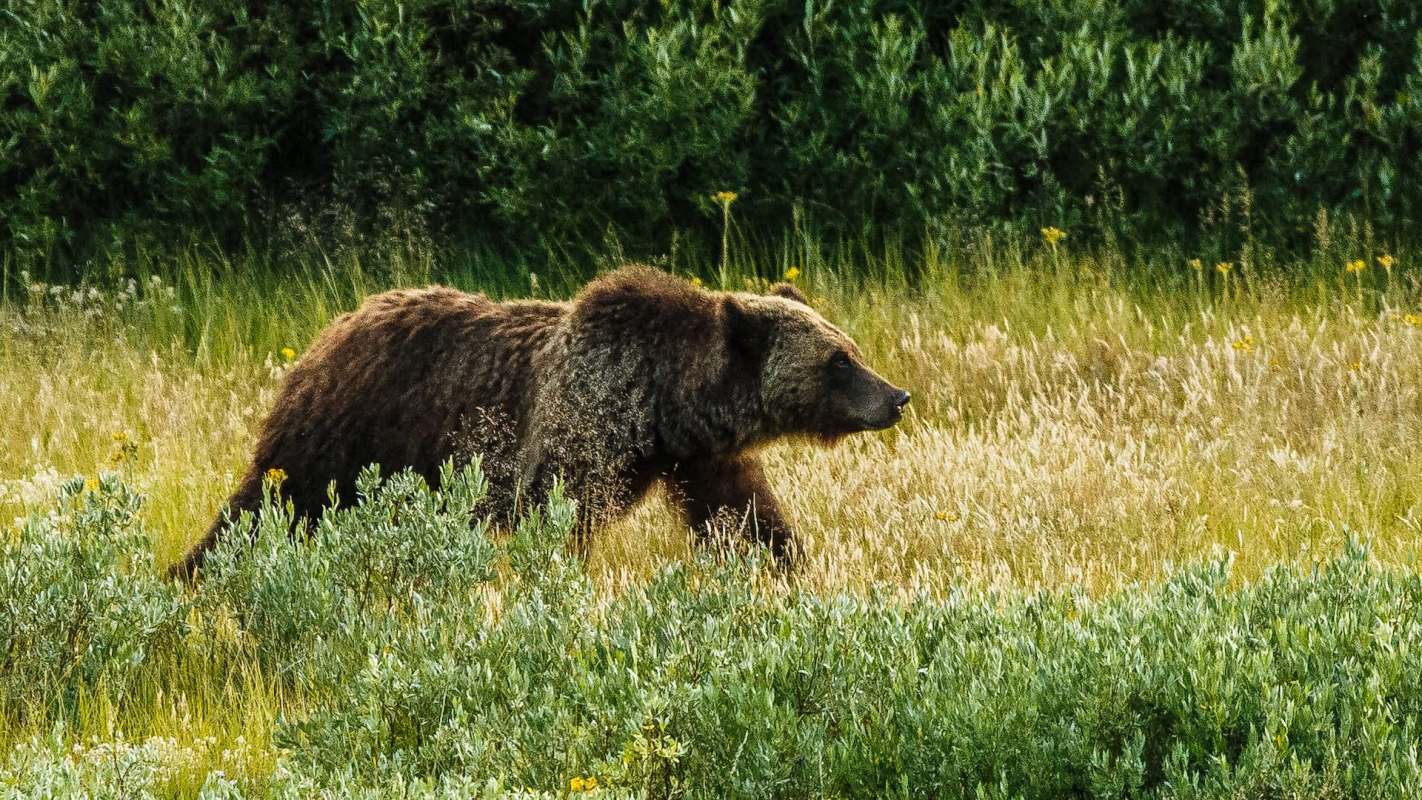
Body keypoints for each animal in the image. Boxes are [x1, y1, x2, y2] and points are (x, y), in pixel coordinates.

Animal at [168, 265, 909, 579]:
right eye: (839, 361)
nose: (896, 396)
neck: (661, 400)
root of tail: (327, 332)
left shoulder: (698, 456)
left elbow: (742, 512)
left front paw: (789, 563)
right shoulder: (576, 433)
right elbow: (558, 516)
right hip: (352, 426)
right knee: (275, 499)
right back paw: (193, 567)